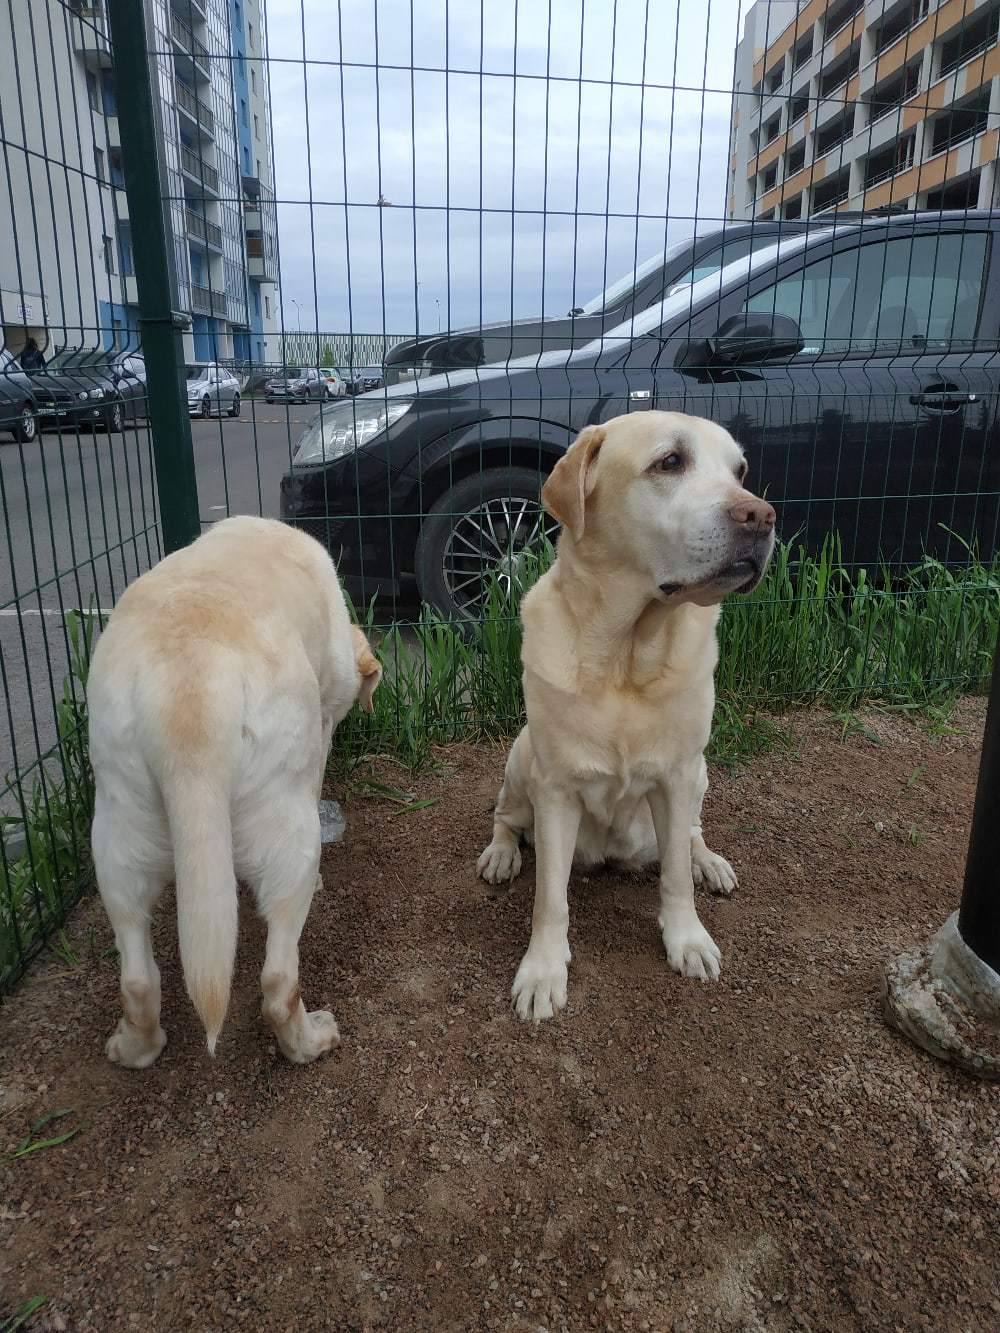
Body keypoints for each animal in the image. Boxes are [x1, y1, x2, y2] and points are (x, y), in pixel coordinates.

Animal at [90, 514, 381, 1066]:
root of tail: (188, 694)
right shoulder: (321, 731)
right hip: (292, 841)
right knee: (279, 981)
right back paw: (309, 1041)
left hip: (117, 846)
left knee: (137, 980)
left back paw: (134, 1047)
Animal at [482, 413, 778, 1018]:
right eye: (670, 462)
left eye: (739, 470)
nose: (762, 515)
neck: (626, 654)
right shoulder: (554, 788)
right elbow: (549, 897)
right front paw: (542, 971)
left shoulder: (678, 775)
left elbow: (675, 877)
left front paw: (688, 940)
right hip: (522, 755)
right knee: (506, 817)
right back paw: (500, 855)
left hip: (701, 772)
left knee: (691, 834)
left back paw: (708, 861)